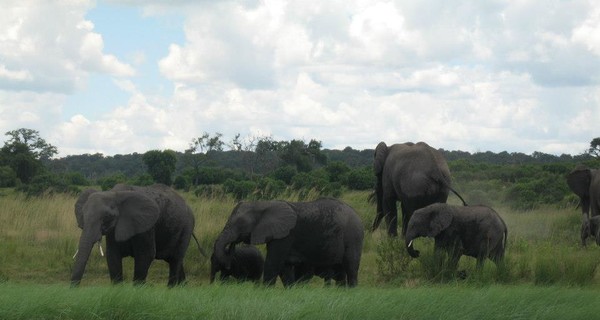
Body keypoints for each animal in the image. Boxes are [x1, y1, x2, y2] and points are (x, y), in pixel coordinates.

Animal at [213, 199, 364, 286]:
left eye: (240, 224)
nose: (231, 246)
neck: (264, 204)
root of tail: (357, 215)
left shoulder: (285, 235)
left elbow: (273, 263)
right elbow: (284, 267)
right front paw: (291, 290)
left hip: (354, 236)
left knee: (351, 267)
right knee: (340, 273)